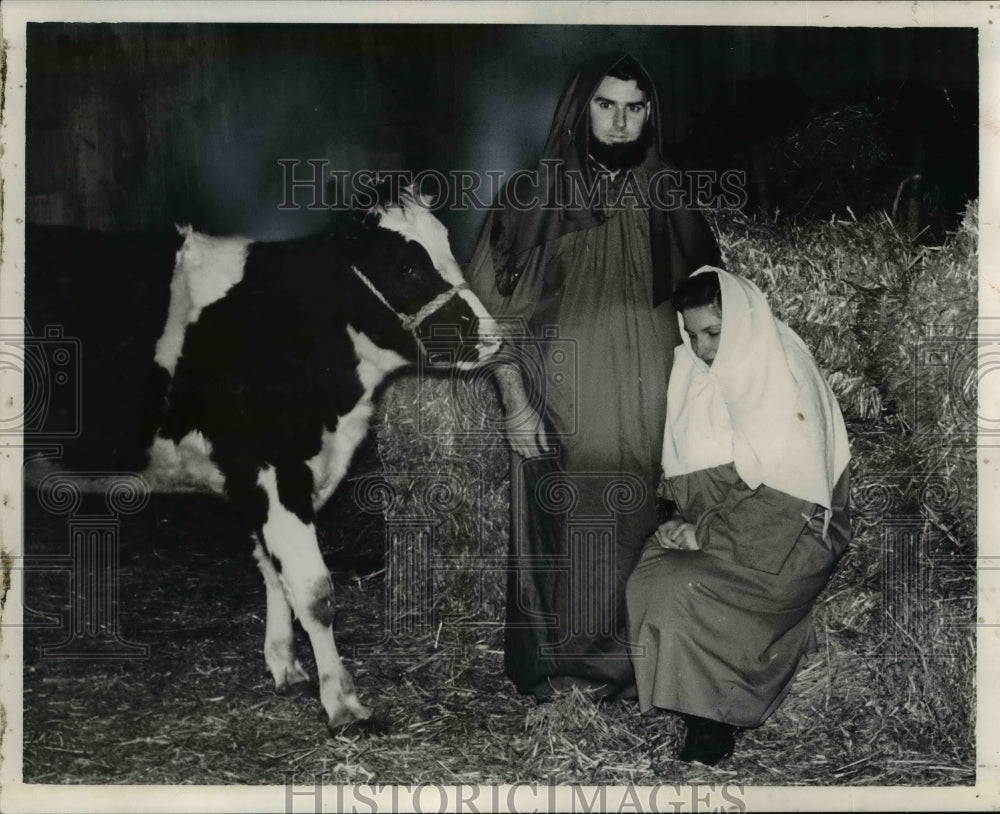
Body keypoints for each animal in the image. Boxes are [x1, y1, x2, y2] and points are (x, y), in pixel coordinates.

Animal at [25, 188, 500, 728]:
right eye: (403, 266)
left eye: (447, 246)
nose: (491, 336)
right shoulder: (274, 468)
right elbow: (314, 591)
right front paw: (342, 701)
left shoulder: (272, 475)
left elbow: (275, 572)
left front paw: (286, 665)